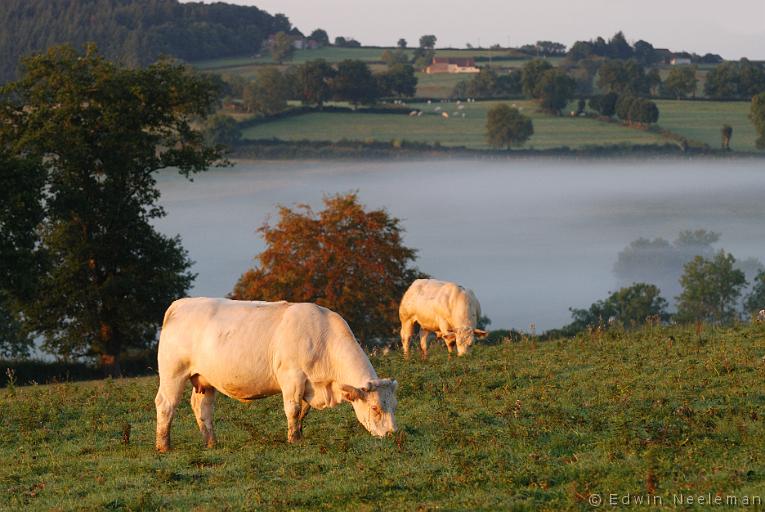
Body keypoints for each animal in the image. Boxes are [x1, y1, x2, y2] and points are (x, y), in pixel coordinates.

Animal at [153, 296, 396, 452]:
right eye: (375, 408)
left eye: (394, 406)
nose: (392, 434)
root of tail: (180, 304)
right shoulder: (291, 377)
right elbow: (293, 409)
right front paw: (293, 440)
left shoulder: (307, 385)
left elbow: (302, 412)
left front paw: (299, 434)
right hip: (173, 373)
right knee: (166, 404)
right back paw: (163, 446)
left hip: (204, 380)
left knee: (202, 408)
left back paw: (211, 443)